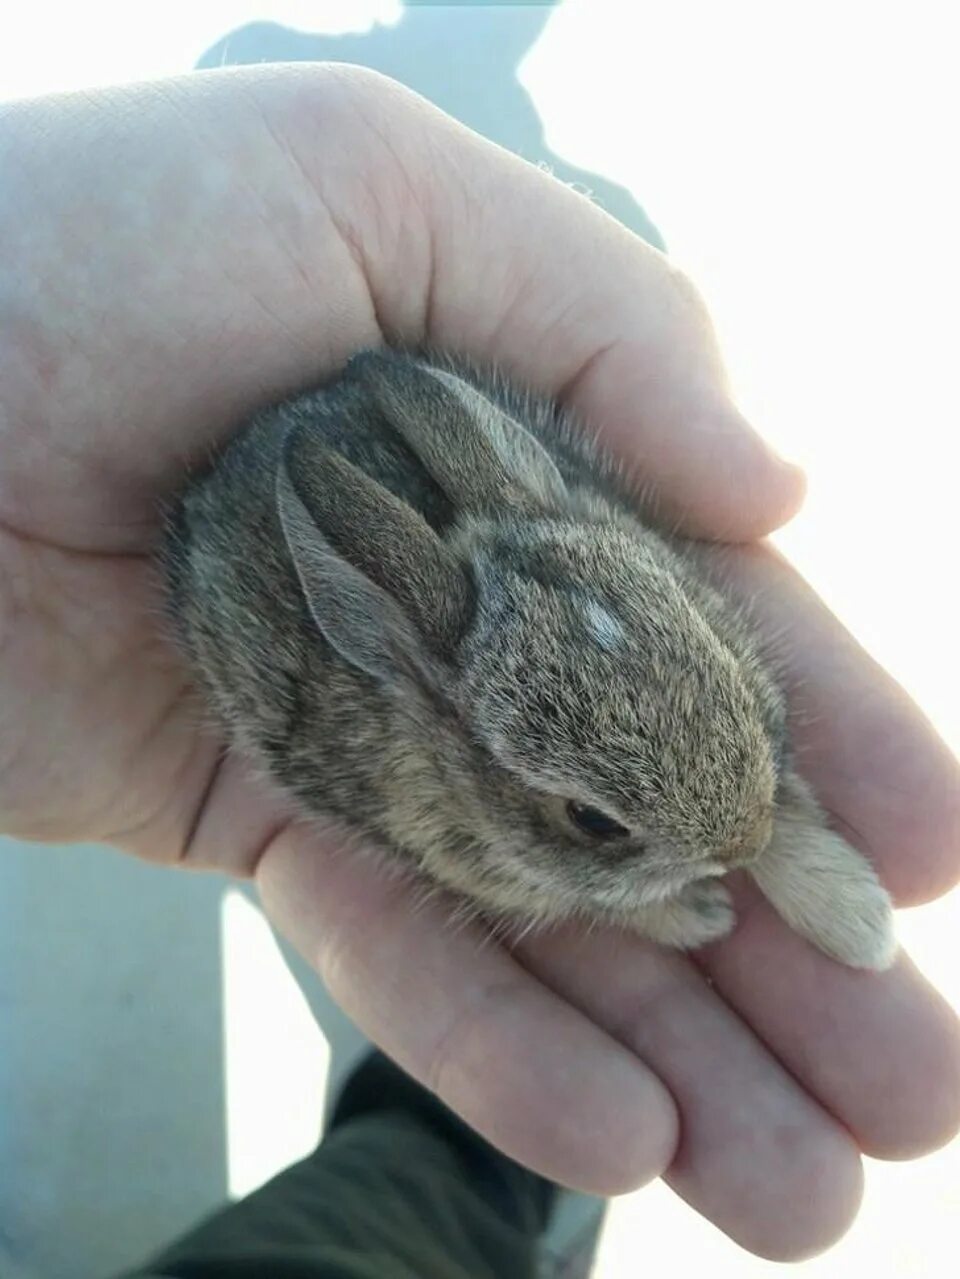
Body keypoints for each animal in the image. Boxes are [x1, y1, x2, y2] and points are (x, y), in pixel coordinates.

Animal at [163, 350, 894, 966]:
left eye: (721, 659)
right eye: (593, 821)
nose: (743, 843)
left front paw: (860, 923)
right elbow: (608, 905)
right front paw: (706, 916)